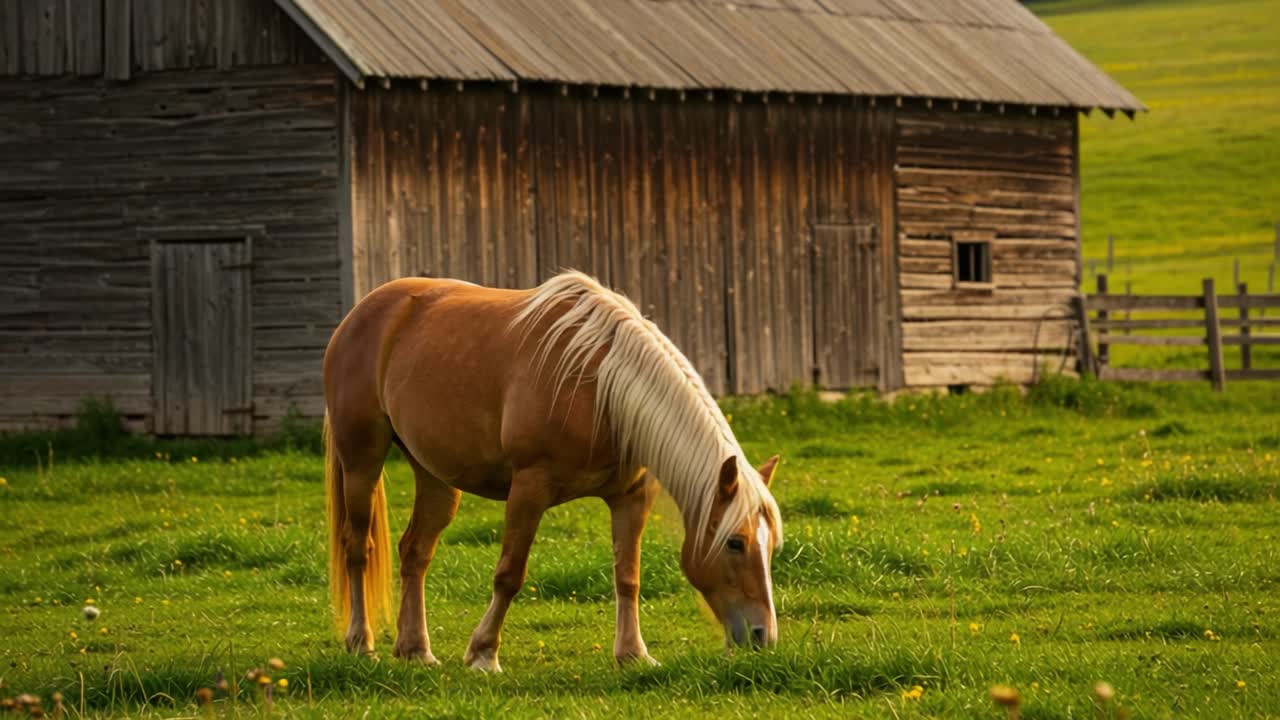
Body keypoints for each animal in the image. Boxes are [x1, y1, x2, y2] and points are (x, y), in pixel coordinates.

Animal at [322, 270, 783, 671]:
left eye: (771, 547)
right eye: (736, 543)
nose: (763, 636)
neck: (601, 388)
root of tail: (359, 315)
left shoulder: (632, 497)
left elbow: (628, 576)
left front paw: (633, 654)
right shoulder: (529, 488)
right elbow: (509, 574)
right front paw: (483, 654)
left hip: (434, 476)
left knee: (415, 552)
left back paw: (415, 649)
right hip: (361, 461)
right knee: (358, 547)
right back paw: (361, 642)